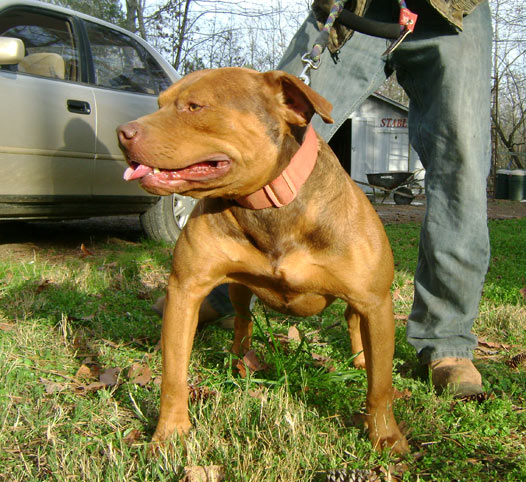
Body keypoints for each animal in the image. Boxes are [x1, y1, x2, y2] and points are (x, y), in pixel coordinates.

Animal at [117, 68, 410, 456]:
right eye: (159, 104)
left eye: (195, 106)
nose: (122, 132)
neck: (269, 206)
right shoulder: (185, 290)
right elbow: (174, 374)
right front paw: (169, 433)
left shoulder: (374, 302)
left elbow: (380, 386)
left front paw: (385, 435)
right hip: (239, 289)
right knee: (243, 319)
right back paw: (241, 360)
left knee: (352, 322)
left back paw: (361, 359)